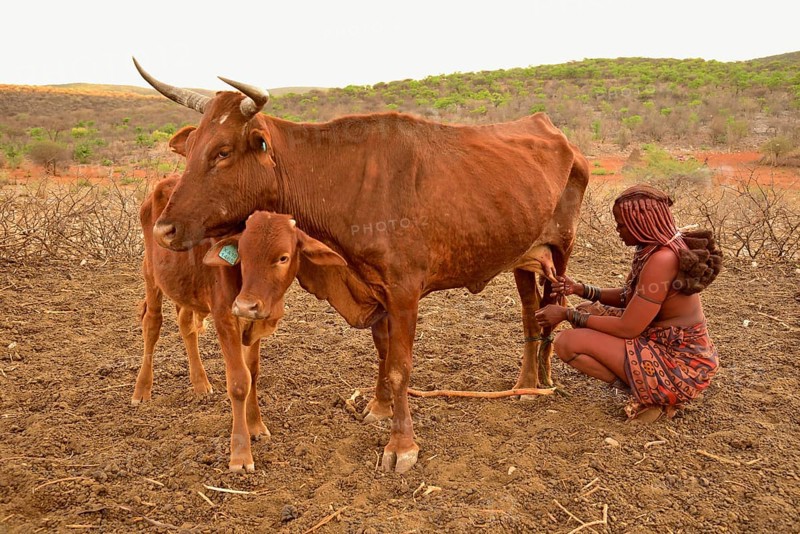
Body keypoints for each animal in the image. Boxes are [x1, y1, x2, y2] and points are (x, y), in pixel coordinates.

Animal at [135, 176, 345, 471]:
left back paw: (200, 384)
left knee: (186, 323)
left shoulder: (255, 326)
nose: (246, 305)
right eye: (242, 256)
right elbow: (238, 381)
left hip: (185, 288)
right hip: (151, 274)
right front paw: (241, 454)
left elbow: (253, 374)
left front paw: (256, 425)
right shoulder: (225, 319)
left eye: (283, 257)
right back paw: (142, 389)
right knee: (152, 323)